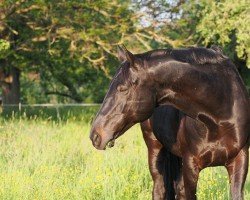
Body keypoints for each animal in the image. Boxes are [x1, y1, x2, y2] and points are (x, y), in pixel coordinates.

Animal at [89, 45, 249, 200]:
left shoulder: (240, 160)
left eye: (123, 89)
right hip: (155, 150)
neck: (219, 115)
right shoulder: (191, 165)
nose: (95, 135)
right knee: (160, 189)